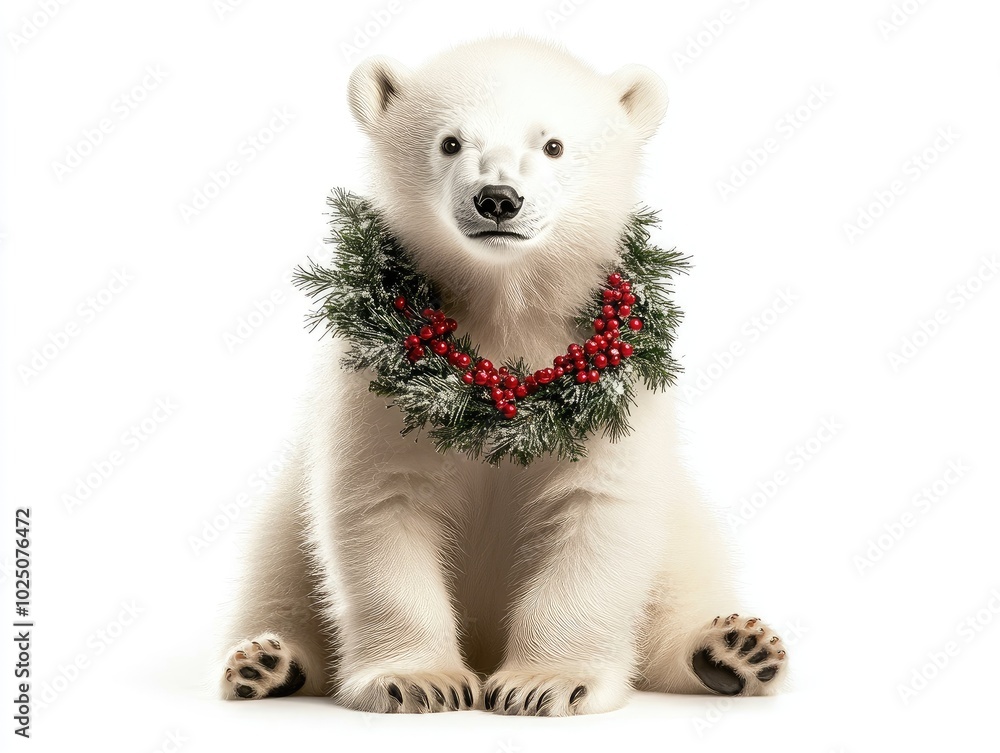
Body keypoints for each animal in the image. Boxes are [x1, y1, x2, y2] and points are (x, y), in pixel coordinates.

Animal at [217, 36, 787, 715]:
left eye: (553, 145)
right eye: (449, 142)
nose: (497, 199)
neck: (506, 312)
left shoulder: (616, 393)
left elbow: (596, 505)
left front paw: (548, 682)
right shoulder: (379, 382)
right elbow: (381, 501)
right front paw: (419, 680)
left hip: (685, 524)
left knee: (683, 582)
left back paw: (730, 651)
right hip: (283, 516)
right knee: (277, 575)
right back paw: (267, 662)